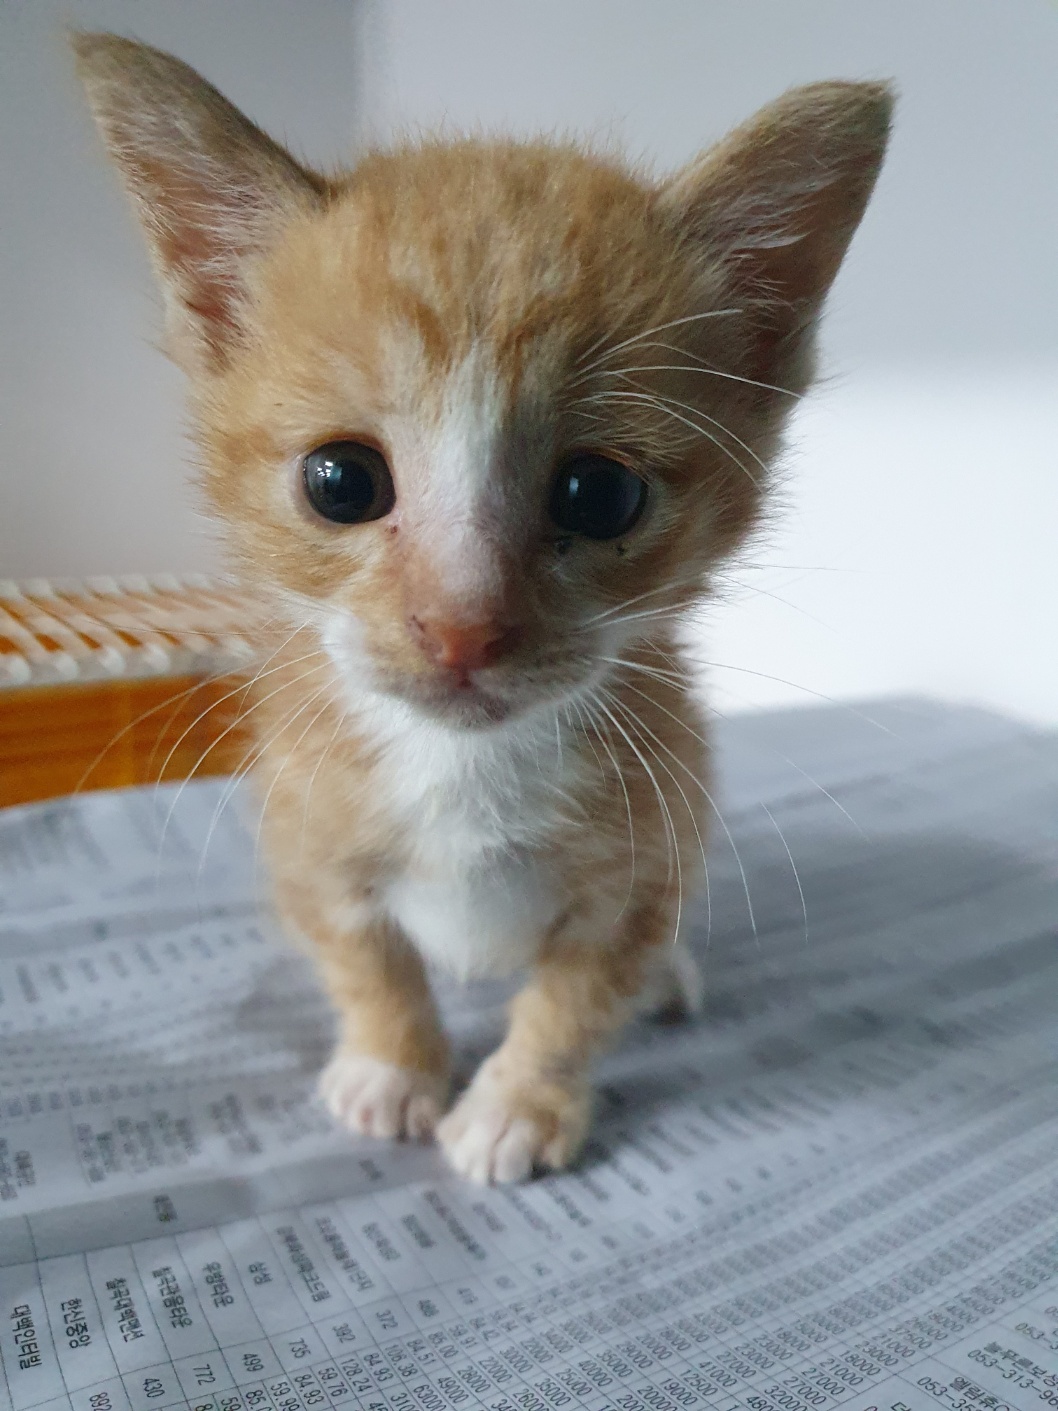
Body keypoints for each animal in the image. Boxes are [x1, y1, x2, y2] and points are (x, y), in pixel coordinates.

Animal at [74, 33, 891, 1179]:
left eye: (599, 493)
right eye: (341, 482)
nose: (461, 627)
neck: (463, 771)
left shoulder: (644, 861)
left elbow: (577, 996)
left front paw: (518, 1104)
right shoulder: (306, 839)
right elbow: (364, 955)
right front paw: (391, 1066)